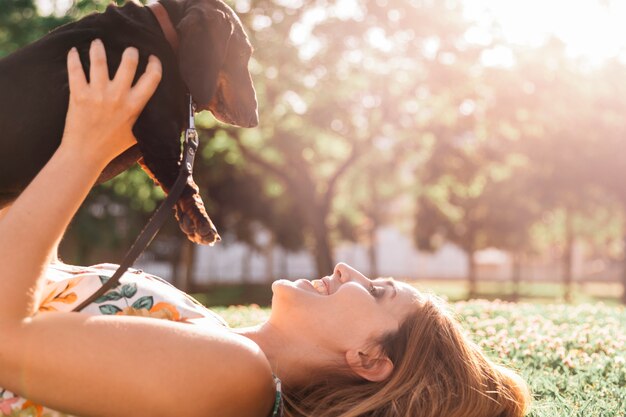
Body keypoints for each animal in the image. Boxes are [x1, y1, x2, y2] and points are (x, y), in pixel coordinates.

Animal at [0, 0, 258, 244]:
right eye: (243, 53)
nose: (255, 119)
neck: (162, 37)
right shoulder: (158, 132)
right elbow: (183, 179)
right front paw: (201, 221)